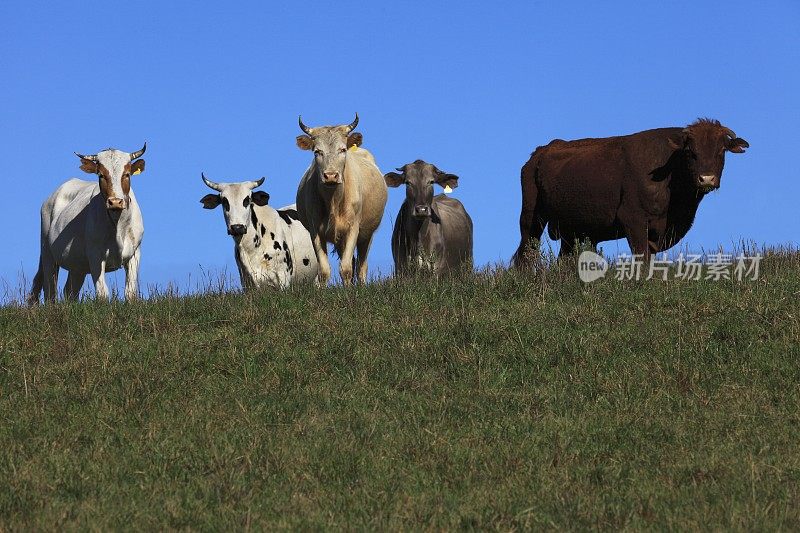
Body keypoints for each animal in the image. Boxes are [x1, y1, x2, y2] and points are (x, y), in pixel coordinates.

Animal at [27, 144, 148, 304]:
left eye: (127, 174)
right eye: (101, 175)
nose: (115, 202)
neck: (117, 226)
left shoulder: (135, 253)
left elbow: (131, 293)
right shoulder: (95, 255)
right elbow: (102, 294)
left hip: (77, 265)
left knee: (70, 291)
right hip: (47, 252)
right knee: (50, 290)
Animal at [296, 114, 390, 284]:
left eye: (342, 149)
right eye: (317, 151)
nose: (331, 175)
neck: (333, 201)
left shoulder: (353, 228)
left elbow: (346, 268)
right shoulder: (315, 231)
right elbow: (324, 270)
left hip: (367, 234)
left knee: (361, 265)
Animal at [512, 118, 752, 264]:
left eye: (721, 151)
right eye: (690, 152)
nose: (706, 178)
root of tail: (539, 153)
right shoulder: (633, 220)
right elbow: (641, 256)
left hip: (570, 231)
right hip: (532, 218)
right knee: (525, 251)